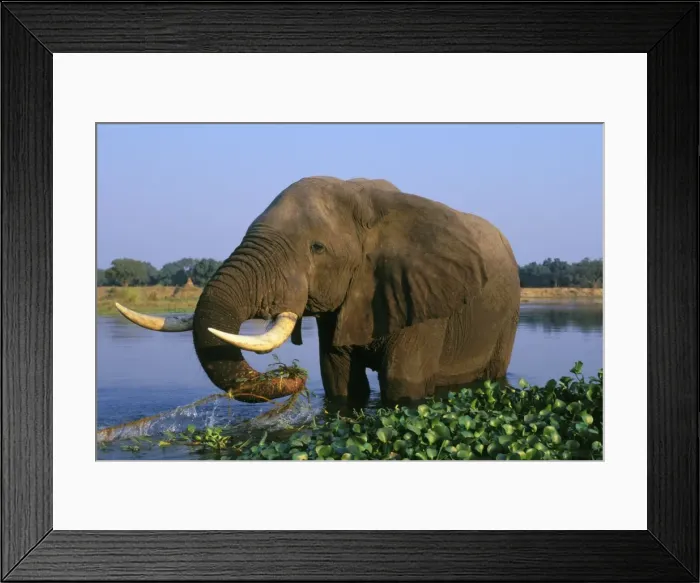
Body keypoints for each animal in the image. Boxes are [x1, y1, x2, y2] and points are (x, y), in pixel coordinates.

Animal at [116, 176, 521, 408]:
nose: (294, 377)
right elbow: (340, 380)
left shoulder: (422, 300)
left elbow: (402, 385)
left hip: (508, 314)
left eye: (317, 248)